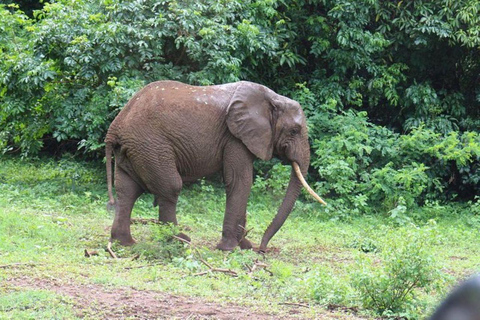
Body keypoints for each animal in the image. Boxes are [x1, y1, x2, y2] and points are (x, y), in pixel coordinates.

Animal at [103, 80, 324, 252]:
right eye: (294, 131)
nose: (261, 248)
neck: (273, 98)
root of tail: (116, 126)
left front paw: (244, 245)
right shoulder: (235, 137)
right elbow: (240, 181)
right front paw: (229, 248)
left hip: (132, 150)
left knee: (127, 191)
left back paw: (125, 243)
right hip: (151, 145)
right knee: (170, 188)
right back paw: (179, 241)